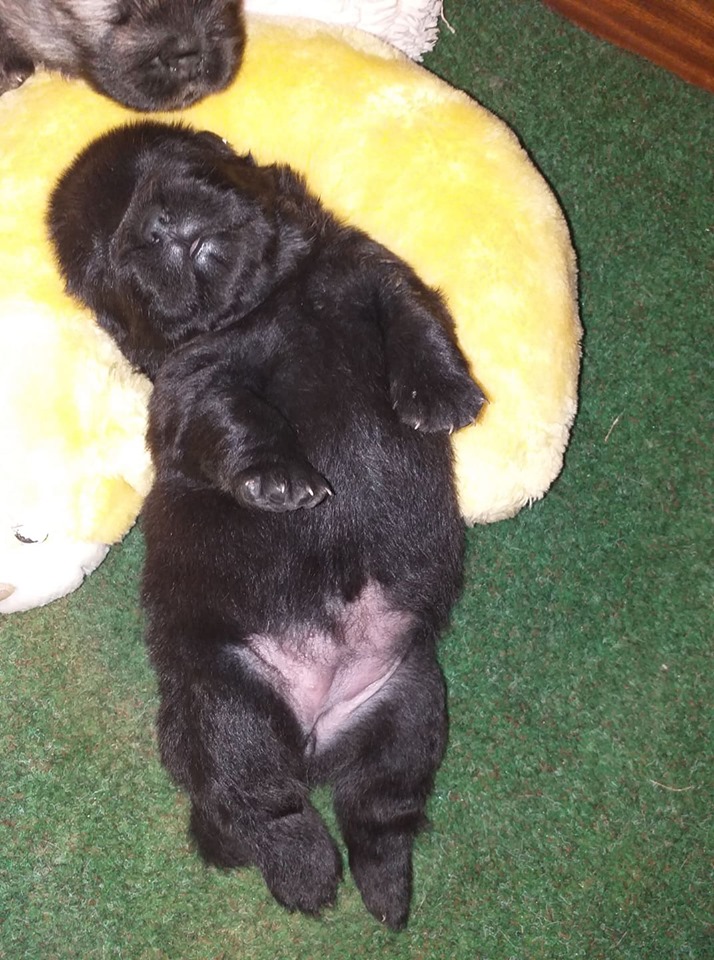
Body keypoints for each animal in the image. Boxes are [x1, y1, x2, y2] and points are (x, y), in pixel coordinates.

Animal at [48, 121, 484, 927]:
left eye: (180, 170)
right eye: (114, 254)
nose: (155, 225)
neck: (269, 300)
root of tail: (314, 739)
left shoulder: (374, 271)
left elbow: (418, 318)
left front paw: (442, 394)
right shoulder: (194, 384)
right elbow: (234, 419)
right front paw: (279, 481)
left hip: (412, 703)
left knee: (379, 808)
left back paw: (386, 891)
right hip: (225, 700)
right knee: (259, 805)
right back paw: (308, 877)